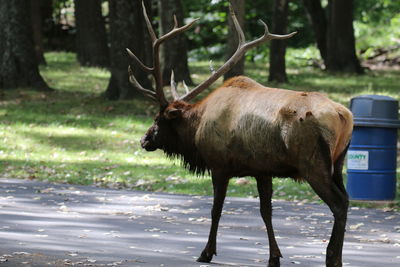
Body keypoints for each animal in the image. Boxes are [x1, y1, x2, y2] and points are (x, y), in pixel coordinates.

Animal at [127, 2, 354, 267]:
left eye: (158, 119)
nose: (144, 140)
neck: (196, 128)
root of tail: (343, 115)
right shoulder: (263, 170)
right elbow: (266, 211)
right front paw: (274, 257)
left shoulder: (219, 165)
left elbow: (216, 209)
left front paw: (206, 252)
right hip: (337, 162)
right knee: (347, 199)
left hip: (313, 163)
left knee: (339, 204)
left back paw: (332, 258)